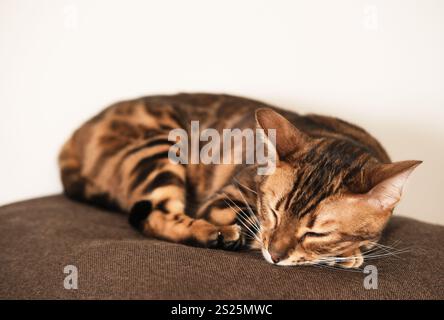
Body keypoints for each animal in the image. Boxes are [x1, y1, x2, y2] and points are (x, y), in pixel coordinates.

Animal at [58, 92, 420, 268]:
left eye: (317, 232)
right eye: (272, 212)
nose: (275, 255)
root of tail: (77, 133)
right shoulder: (224, 201)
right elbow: (253, 230)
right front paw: (346, 254)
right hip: (159, 147)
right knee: (151, 215)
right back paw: (213, 234)